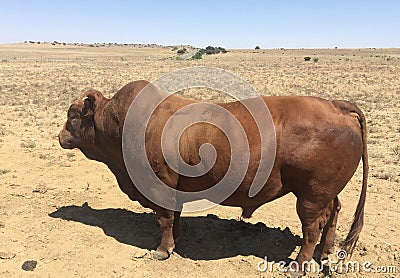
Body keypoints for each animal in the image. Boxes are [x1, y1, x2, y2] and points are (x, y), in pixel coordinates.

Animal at [57, 80, 368, 274]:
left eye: (72, 115)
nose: (60, 136)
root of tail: (334, 105)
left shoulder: (160, 186)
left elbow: (164, 219)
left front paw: (162, 250)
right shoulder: (175, 189)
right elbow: (175, 217)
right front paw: (175, 241)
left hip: (310, 196)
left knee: (311, 228)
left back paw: (299, 266)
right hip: (325, 192)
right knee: (334, 213)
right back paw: (326, 252)